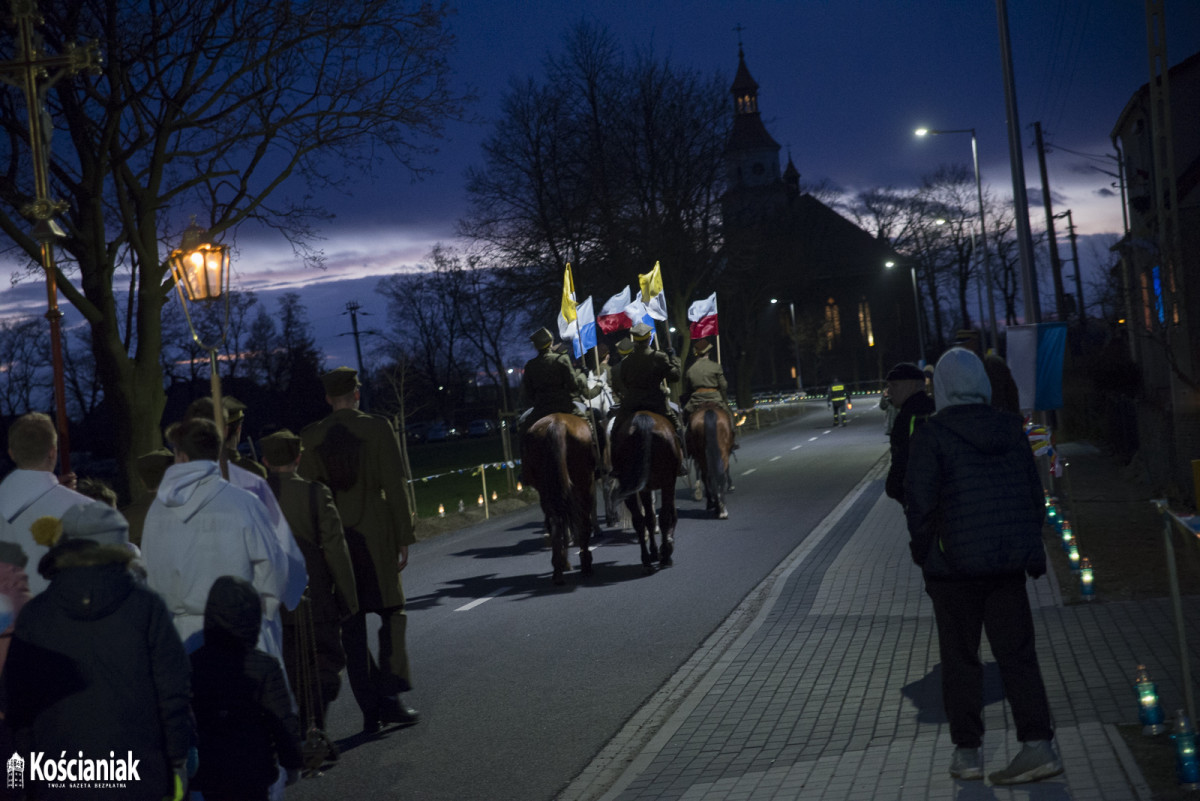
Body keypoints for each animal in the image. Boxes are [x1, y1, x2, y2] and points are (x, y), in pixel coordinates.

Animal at [525, 410, 600, 585]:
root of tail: (557, 423)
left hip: (547, 491)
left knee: (555, 522)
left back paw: (558, 569)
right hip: (584, 483)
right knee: (582, 522)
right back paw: (585, 564)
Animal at [614, 410, 681, 573]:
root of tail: (643, 421)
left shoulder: (644, 489)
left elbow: (650, 519)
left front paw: (656, 551)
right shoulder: (668, 483)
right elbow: (668, 515)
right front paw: (666, 548)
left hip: (629, 486)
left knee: (639, 521)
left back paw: (646, 560)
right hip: (667, 480)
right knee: (663, 517)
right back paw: (665, 557)